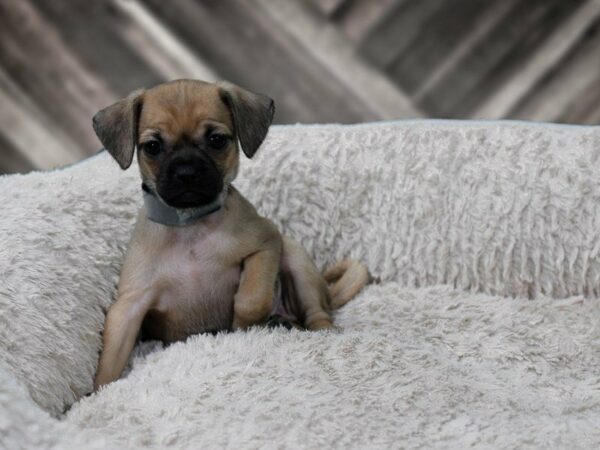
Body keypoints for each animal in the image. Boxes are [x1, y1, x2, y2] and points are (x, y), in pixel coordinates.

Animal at [92, 79, 370, 388]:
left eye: (216, 140)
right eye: (153, 147)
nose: (186, 172)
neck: (190, 225)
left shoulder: (266, 243)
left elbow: (251, 299)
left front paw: (242, 328)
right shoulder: (129, 307)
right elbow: (109, 363)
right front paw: (96, 393)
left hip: (297, 260)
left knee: (317, 314)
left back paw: (311, 329)